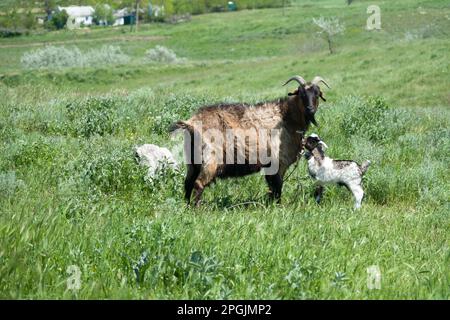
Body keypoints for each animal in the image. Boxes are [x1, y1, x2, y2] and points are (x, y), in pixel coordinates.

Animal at [171, 74, 328, 205]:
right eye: (302, 94)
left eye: (317, 94)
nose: (310, 109)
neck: (287, 116)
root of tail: (191, 123)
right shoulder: (279, 161)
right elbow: (277, 185)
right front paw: (278, 206)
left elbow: (271, 186)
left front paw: (270, 204)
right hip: (210, 159)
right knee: (198, 183)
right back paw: (197, 208)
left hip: (192, 161)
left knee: (188, 183)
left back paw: (186, 206)